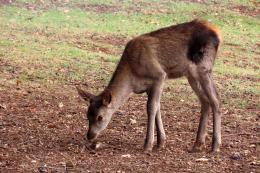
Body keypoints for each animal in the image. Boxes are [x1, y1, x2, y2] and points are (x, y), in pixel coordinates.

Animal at [76, 19, 222, 153]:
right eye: (87, 115)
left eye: (100, 117)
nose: (90, 135)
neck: (132, 80)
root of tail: (217, 33)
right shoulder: (148, 86)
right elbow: (157, 107)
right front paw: (160, 142)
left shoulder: (159, 76)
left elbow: (151, 107)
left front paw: (148, 145)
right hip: (191, 75)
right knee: (205, 101)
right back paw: (198, 143)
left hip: (203, 67)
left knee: (215, 100)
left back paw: (215, 146)